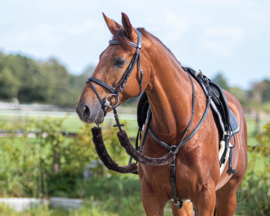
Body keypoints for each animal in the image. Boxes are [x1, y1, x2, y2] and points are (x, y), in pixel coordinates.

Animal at [75, 12, 247, 216]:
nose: (84, 108)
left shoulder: (205, 198)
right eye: (101, 56)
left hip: (228, 195)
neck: (175, 130)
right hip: (182, 202)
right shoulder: (152, 196)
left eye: (119, 61)